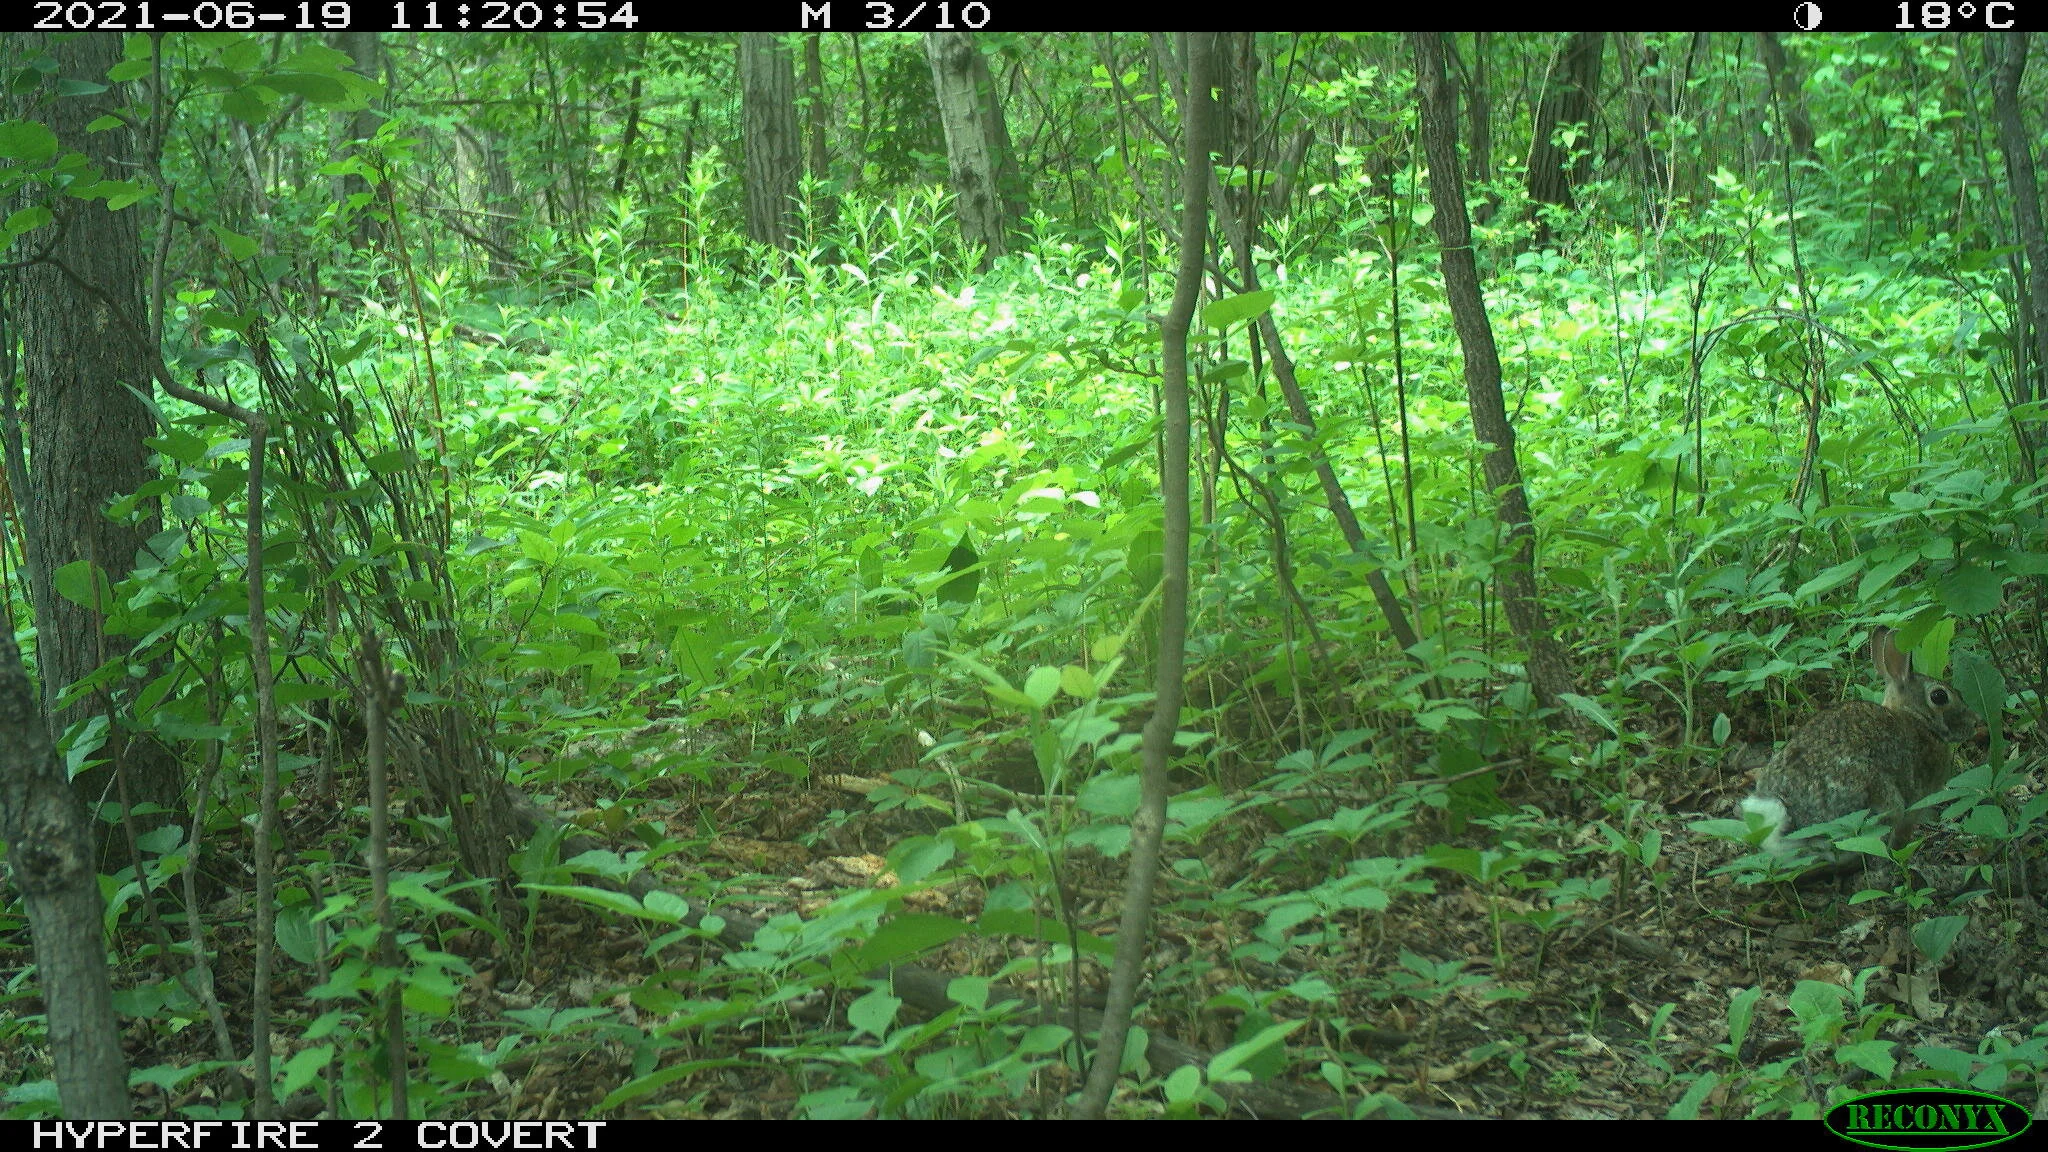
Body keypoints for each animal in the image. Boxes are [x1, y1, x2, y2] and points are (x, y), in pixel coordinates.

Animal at [1740, 626, 1977, 863]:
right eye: (1939, 696)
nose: (1975, 722)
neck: (1916, 718)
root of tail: (1787, 821)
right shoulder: (1914, 806)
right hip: (1879, 801)